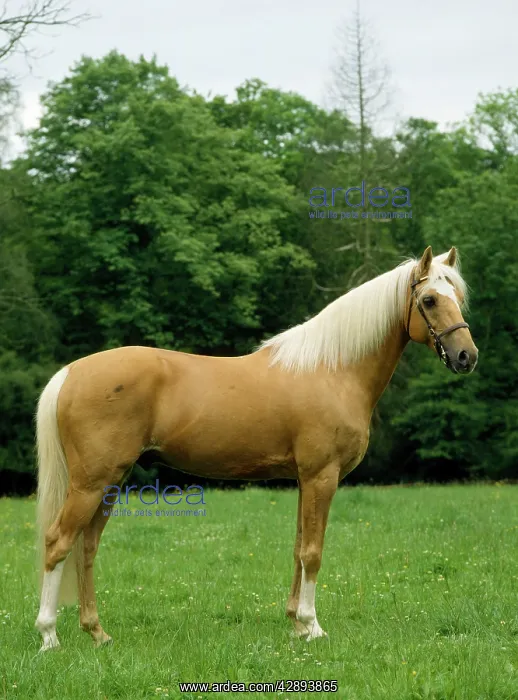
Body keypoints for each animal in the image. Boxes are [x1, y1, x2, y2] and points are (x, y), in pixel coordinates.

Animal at [35, 246, 478, 651]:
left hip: (109, 483)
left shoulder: (304, 479)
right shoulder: (322, 476)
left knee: (86, 547)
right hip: (91, 483)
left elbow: (299, 548)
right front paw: (313, 626)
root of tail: (71, 372)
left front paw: (296, 624)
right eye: (429, 300)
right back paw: (49, 635)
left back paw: (97, 633)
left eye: (458, 296)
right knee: (58, 542)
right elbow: (313, 552)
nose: (466, 357)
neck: (333, 370)